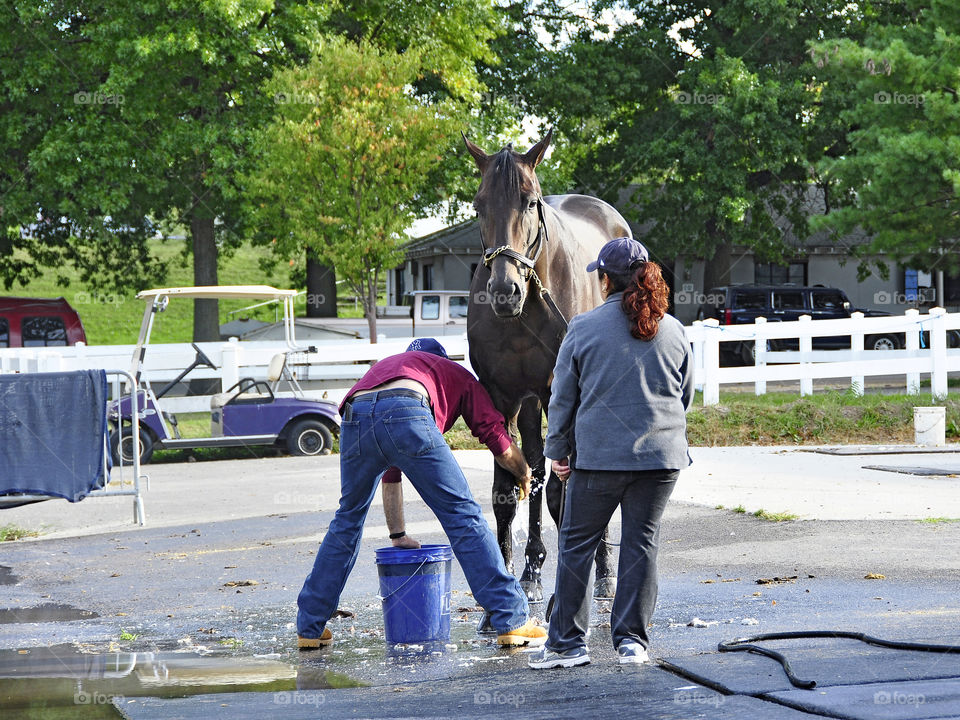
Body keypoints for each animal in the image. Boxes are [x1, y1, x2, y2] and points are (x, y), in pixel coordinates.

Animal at [463, 129, 632, 605]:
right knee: (536, 466)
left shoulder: (559, 388)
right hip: (532, 402)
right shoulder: (502, 396)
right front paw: (504, 581)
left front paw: (583, 577)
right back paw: (533, 568)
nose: (505, 291)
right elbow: (508, 488)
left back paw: (603, 571)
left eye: (529, 200)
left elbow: (564, 492)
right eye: (479, 204)